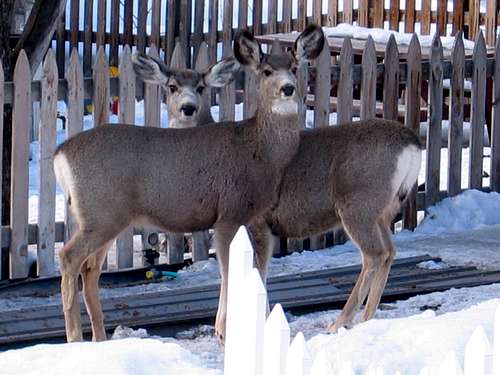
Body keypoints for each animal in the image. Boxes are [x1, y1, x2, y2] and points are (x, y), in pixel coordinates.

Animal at [53, 25, 324, 344]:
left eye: (294, 67)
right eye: (267, 71)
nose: (288, 88)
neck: (261, 151)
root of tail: (60, 154)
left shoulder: (257, 219)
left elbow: (258, 269)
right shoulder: (230, 213)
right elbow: (229, 271)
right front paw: (223, 331)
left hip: (105, 218)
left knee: (90, 268)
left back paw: (99, 338)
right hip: (101, 213)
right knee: (68, 257)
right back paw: (75, 338)